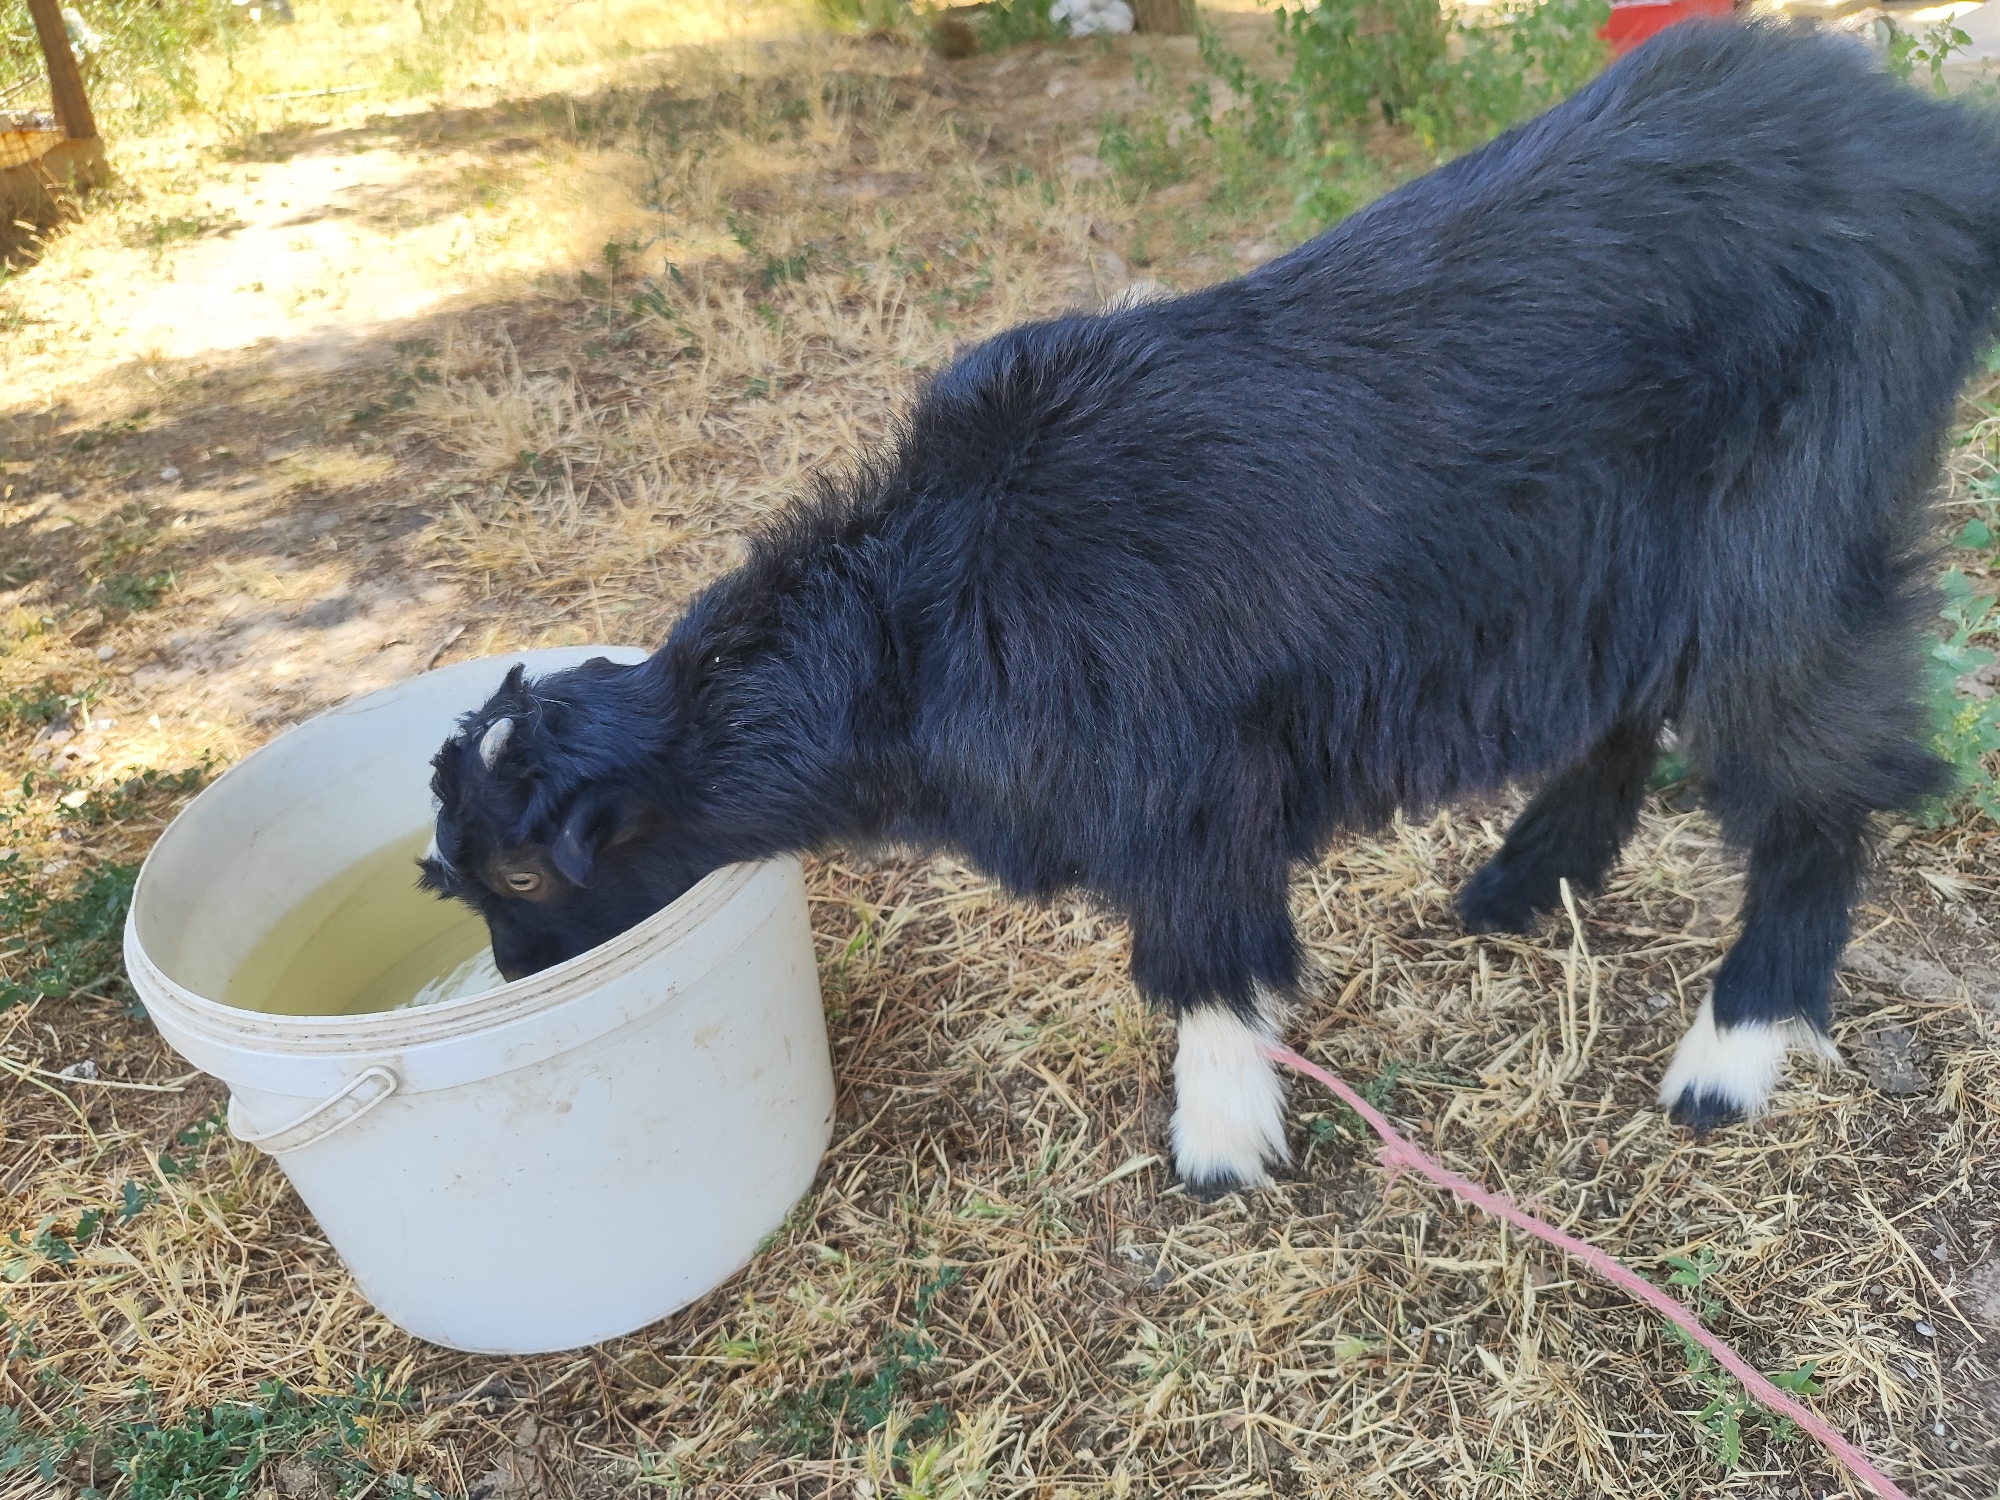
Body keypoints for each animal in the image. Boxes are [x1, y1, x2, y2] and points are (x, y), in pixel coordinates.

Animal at [422, 20, 2000, 1197]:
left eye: (523, 880)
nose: (514, 988)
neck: (928, 616)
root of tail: (1928, 150)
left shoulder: (1187, 792)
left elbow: (1202, 965)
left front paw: (1221, 1148)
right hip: (1619, 558)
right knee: (1630, 708)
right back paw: (1516, 886)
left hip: (1794, 532)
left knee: (1816, 784)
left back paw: (1726, 1059)